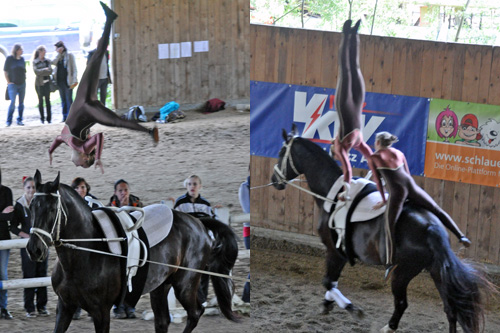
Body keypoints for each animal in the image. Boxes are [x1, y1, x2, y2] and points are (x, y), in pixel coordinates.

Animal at [26, 170, 237, 330]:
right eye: (32, 206)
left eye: (52, 209)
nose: (34, 249)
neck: (85, 253)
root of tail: (198, 222)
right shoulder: (65, 306)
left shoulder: (101, 312)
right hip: (161, 286)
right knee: (163, 321)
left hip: (185, 284)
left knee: (195, 313)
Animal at [270, 125, 488, 332]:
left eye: (281, 151)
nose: (273, 179)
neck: (332, 193)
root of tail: (432, 228)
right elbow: (331, 282)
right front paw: (327, 303)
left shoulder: (335, 251)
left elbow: (328, 281)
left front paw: (351, 308)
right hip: (436, 270)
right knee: (451, 310)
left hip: (403, 272)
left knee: (402, 303)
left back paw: (388, 327)